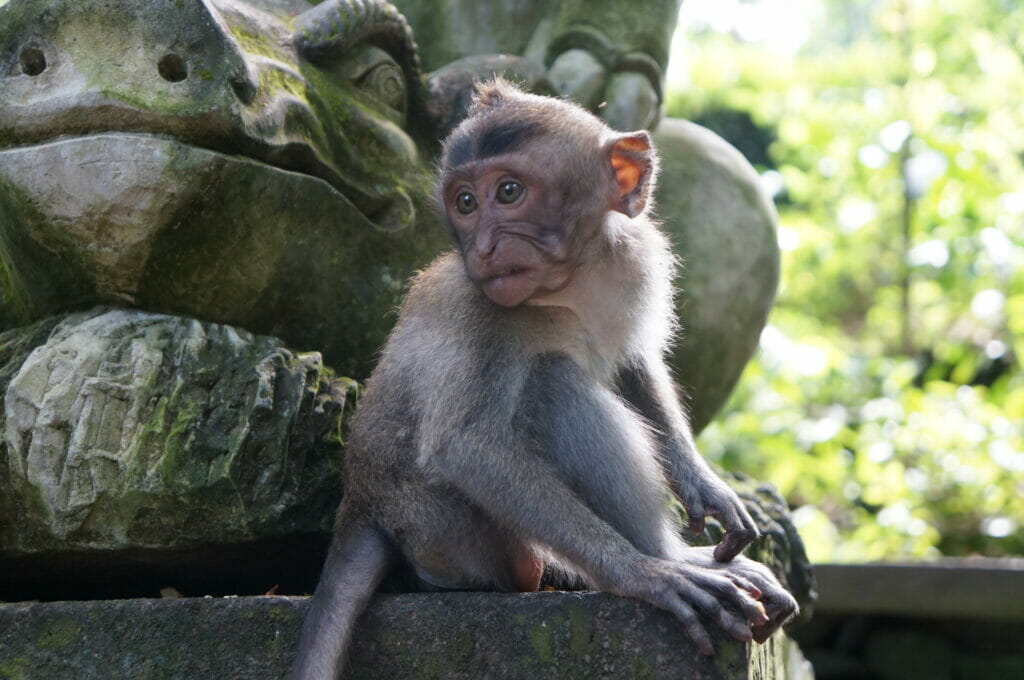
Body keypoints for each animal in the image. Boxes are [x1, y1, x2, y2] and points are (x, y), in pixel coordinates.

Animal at [288, 80, 798, 680]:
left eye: (508, 192)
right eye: (465, 203)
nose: (485, 247)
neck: (572, 283)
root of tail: (360, 503)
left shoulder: (639, 259)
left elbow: (634, 363)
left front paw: (704, 485)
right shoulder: (479, 311)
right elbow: (467, 447)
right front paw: (642, 575)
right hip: (451, 533)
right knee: (553, 385)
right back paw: (668, 560)